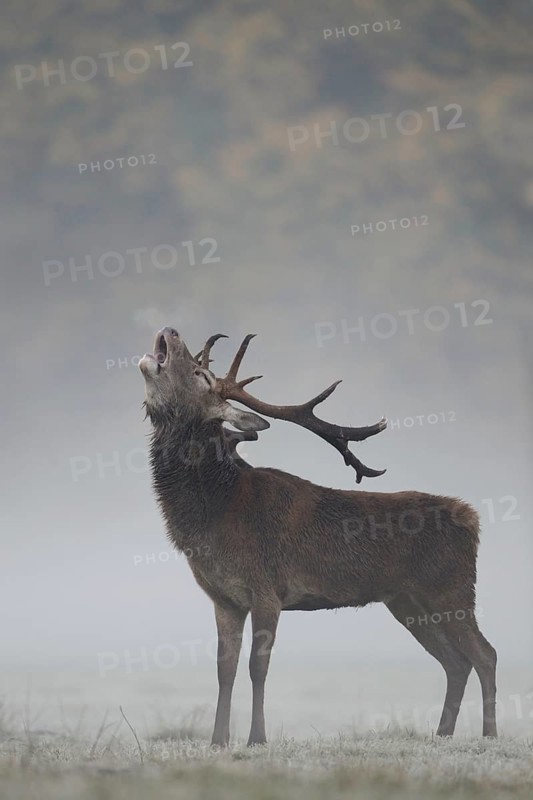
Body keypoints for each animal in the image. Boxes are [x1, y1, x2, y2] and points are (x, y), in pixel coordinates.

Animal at [139, 326, 497, 746]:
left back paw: (490, 735)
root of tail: (472, 518)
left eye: (201, 375)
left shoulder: (267, 588)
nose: (171, 331)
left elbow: (257, 666)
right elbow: (224, 669)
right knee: (455, 663)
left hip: (451, 588)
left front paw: (257, 738)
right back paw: (442, 735)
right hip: (407, 601)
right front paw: (218, 741)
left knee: (485, 654)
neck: (216, 515)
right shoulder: (223, 598)